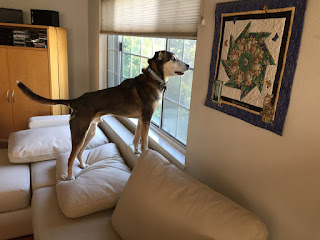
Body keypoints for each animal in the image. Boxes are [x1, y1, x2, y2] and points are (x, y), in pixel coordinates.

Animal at [17, 51, 190, 181]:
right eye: (174, 59)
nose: (188, 66)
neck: (153, 77)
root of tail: (76, 100)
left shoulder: (142, 119)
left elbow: (136, 138)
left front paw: (136, 151)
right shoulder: (147, 118)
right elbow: (145, 141)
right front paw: (145, 154)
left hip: (90, 132)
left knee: (79, 153)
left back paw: (83, 166)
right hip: (79, 134)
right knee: (71, 157)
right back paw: (70, 177)